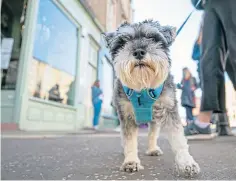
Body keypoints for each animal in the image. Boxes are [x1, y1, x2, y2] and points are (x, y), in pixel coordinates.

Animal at [102, 20, 200, 177]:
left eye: (153, 38)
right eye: (123, 42)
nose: (138, 52)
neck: (143, 87)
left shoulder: (169, 110)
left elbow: (178, 138)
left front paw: (187, 163)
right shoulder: (127, 116)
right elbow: (130, 140)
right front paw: (131, 161)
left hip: (155, 120)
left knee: (152, 134)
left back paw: (153, 149)